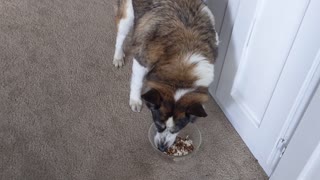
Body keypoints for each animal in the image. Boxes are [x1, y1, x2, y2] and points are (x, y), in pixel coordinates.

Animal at [114, 0, 219, 152]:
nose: (162, 148)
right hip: (127, 15)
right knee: (120, 35)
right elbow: (137, 82)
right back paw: (117, 56)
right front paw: (135, 101)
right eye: (158, 125)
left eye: (177, 129)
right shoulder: (142, 59)